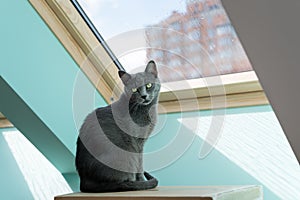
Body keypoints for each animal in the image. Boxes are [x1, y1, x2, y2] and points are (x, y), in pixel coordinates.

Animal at [76, 60, 161, 191]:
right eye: (134, 89)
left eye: (149, 85)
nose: (144, 96)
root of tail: (83, 181)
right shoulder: (137, 142)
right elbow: (140, 164)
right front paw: (142, 180)